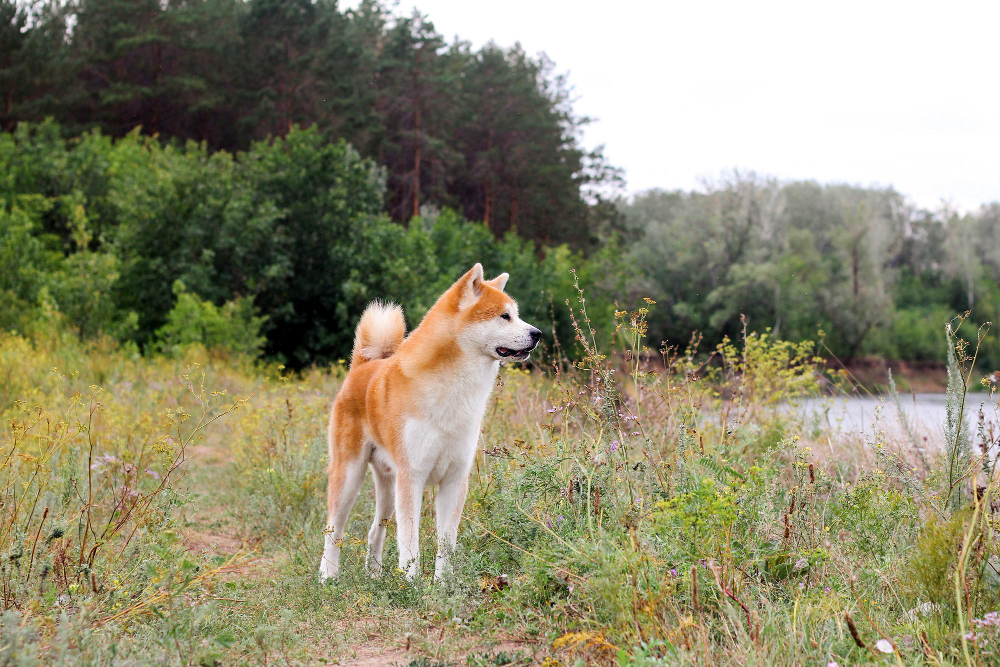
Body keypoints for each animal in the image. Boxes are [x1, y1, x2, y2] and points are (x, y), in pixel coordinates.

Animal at [318, 264, 540, 580]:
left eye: (516, 314)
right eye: (504, 316)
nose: (538, 333)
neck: (454, 388)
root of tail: (361, 367)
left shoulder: (454, 480)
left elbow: (446, 543)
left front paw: (443, 584)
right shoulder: (413, 477)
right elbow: (410, 544)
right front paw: (412, 584)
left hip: (388, 486)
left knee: (375, 530)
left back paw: (374, 576)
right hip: (350, 475)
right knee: (333, 531)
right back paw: (328, 576)